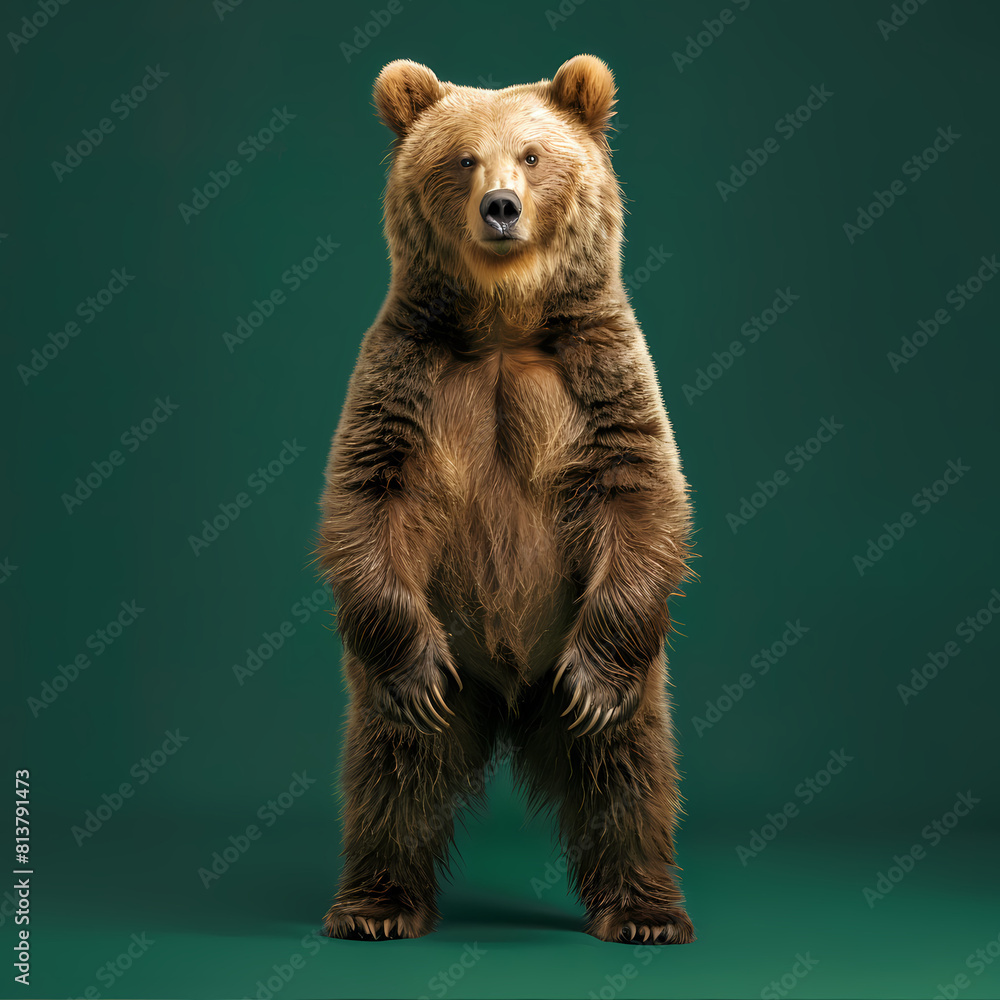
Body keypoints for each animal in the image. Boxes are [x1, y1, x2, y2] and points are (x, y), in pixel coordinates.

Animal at [317, 54, 695, 945]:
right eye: (462, 159)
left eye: (531, 154)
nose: (501, 207)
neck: (502, 325)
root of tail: (512, 698)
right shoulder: (406, 374)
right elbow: (368, 498)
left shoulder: (600, 373)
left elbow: (642, 495)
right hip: (429, 676)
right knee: (395, 766)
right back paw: (376, 904)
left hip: (613, 672)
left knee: (627, 768)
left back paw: (644, 909)